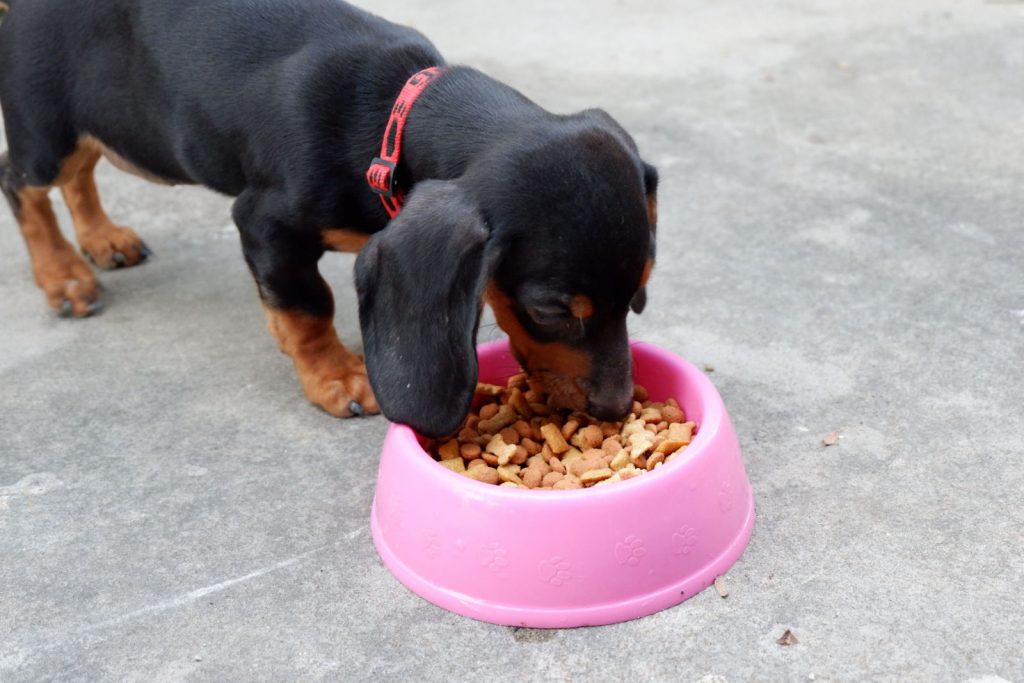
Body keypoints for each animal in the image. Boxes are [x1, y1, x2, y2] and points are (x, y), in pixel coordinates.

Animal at [0, 0, 655, 438]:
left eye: (638, 295)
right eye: (549, 311)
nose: (616, 408)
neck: (390, 119)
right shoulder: (264, 222)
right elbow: (307, 306)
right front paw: (336, 377)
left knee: (79, 174)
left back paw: (101, 239)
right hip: (46, 129)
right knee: (21, 183)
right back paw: (63, 276)